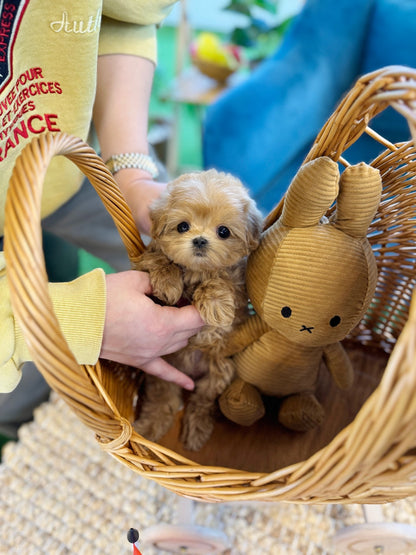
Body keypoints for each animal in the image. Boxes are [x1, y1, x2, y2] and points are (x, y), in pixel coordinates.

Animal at [135, 169, 262, 452]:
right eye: (183, 226)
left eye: (223, 231)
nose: (200, 240)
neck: (196, 270)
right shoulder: (146, 259)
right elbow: (160, 259)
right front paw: (168, 280)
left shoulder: (238, 286)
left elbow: (221, 281)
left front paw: (215, 304)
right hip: (166, 367)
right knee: (164, 397)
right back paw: (150, 426)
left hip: (219, 372)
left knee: (202, 401)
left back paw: (196, 431)